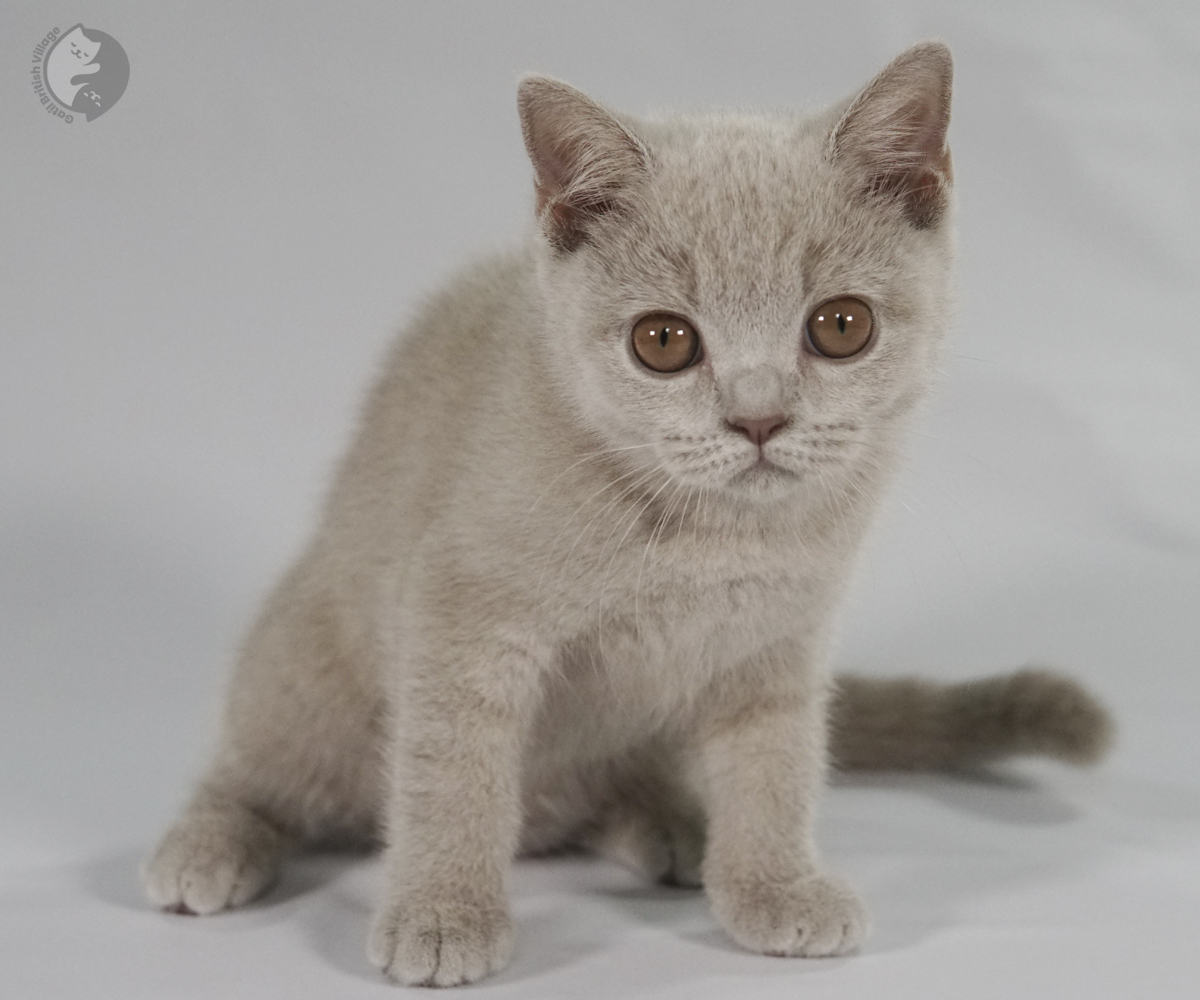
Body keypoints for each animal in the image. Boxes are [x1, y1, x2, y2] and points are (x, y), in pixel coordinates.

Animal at [145, 42, 1108, 989]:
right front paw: (444, 912)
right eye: (664, 341)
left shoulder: (779, 642)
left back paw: (670, 824)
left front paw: (771, 886)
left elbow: (777, 765)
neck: (708, 539)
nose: (758, 418)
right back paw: (209, 843)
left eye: (841, 326)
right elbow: (453, 768)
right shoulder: (461, 609)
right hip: (308, 678)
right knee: (262, 769)